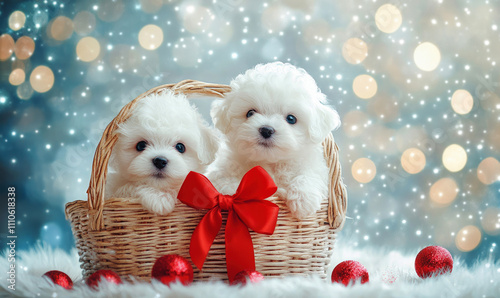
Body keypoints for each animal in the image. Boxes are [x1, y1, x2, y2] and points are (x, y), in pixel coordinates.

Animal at [207, 62, 340, 219]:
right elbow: (226, 182)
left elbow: (309, 175)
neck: (271, 161)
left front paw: (303, 198)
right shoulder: (220, 172)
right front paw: (239, 194)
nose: (266, 130)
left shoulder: (315, 168)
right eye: (250, 113)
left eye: (291, 119)